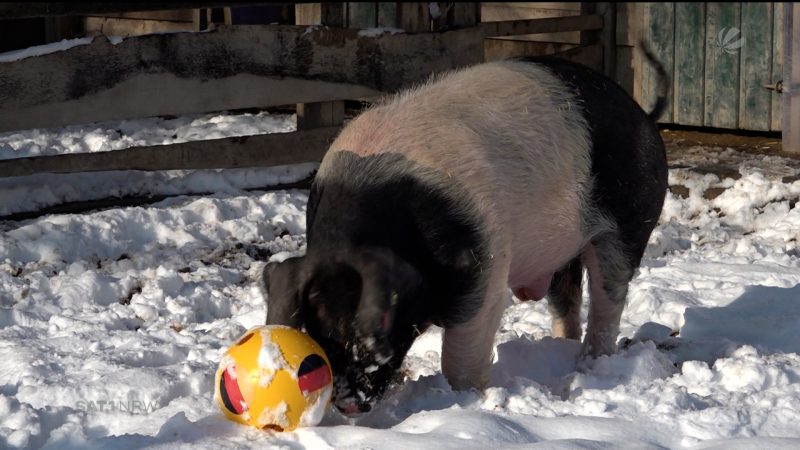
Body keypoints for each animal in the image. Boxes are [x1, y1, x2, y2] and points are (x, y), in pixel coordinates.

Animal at [262, 48, 668, 414]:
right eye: (319, 328)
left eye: (381, 325)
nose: (349, 404)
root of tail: (643, 115)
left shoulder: (484, 268)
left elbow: (462, 353)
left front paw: (463, 400)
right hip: (560, 248)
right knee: (566, 299)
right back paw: (561, 348)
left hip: (629, 223)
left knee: (608, 296)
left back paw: (590, 363)